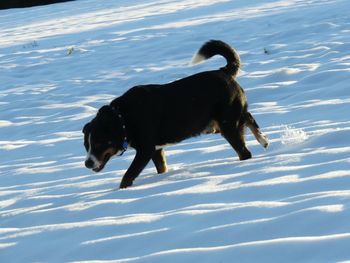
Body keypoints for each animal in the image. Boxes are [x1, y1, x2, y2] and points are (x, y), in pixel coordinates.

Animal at [83, 39, 270, 189]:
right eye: (86, 145)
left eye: (99, 143)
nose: (87, 163)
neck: (123, 118)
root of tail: (224, 71)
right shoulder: (156, 150)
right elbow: (161, 168)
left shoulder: (146, 149)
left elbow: (127, 176)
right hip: (223, 122)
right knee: (248, 117)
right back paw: (263, 139)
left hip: (228, 125)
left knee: (244, 151)